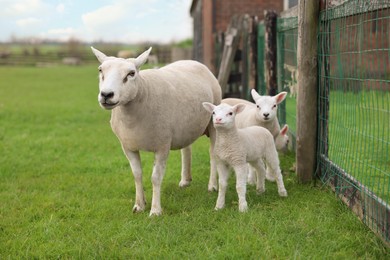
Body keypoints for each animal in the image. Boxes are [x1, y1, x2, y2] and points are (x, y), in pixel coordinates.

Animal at [89, 47, 221, 217]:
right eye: (100, 70)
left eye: (131, 73)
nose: (106, 95)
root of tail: (194, 62)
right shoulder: (128, 146)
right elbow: (137, 174)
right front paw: (139, 205)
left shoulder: (162, 146)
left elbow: (156, 178)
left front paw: (155, 210)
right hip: (186, 127)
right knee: (186, 149)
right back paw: (185, 180)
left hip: (213, 122)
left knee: (213, 154)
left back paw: (212, 186)